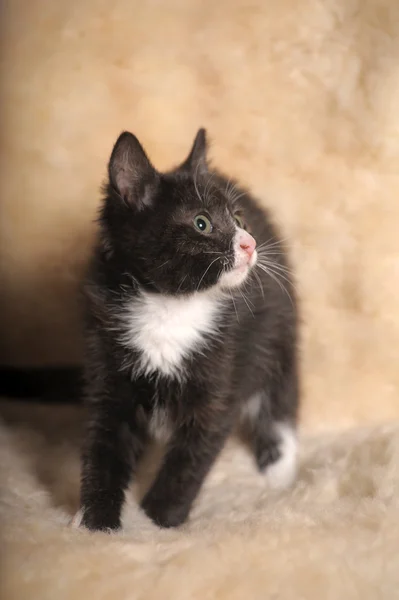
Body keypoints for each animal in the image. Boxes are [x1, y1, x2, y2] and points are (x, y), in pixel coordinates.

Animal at [79, 127, 298, 528]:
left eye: (238, 218)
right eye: (201, 223)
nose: (250, 243)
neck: (170, 306)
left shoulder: (223, 363)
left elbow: (194, 454)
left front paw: (157, 518)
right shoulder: (105, 350)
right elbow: (104, 439)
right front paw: (95, 522)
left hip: (277, 326)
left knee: (279, 391)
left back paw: (280, 468)